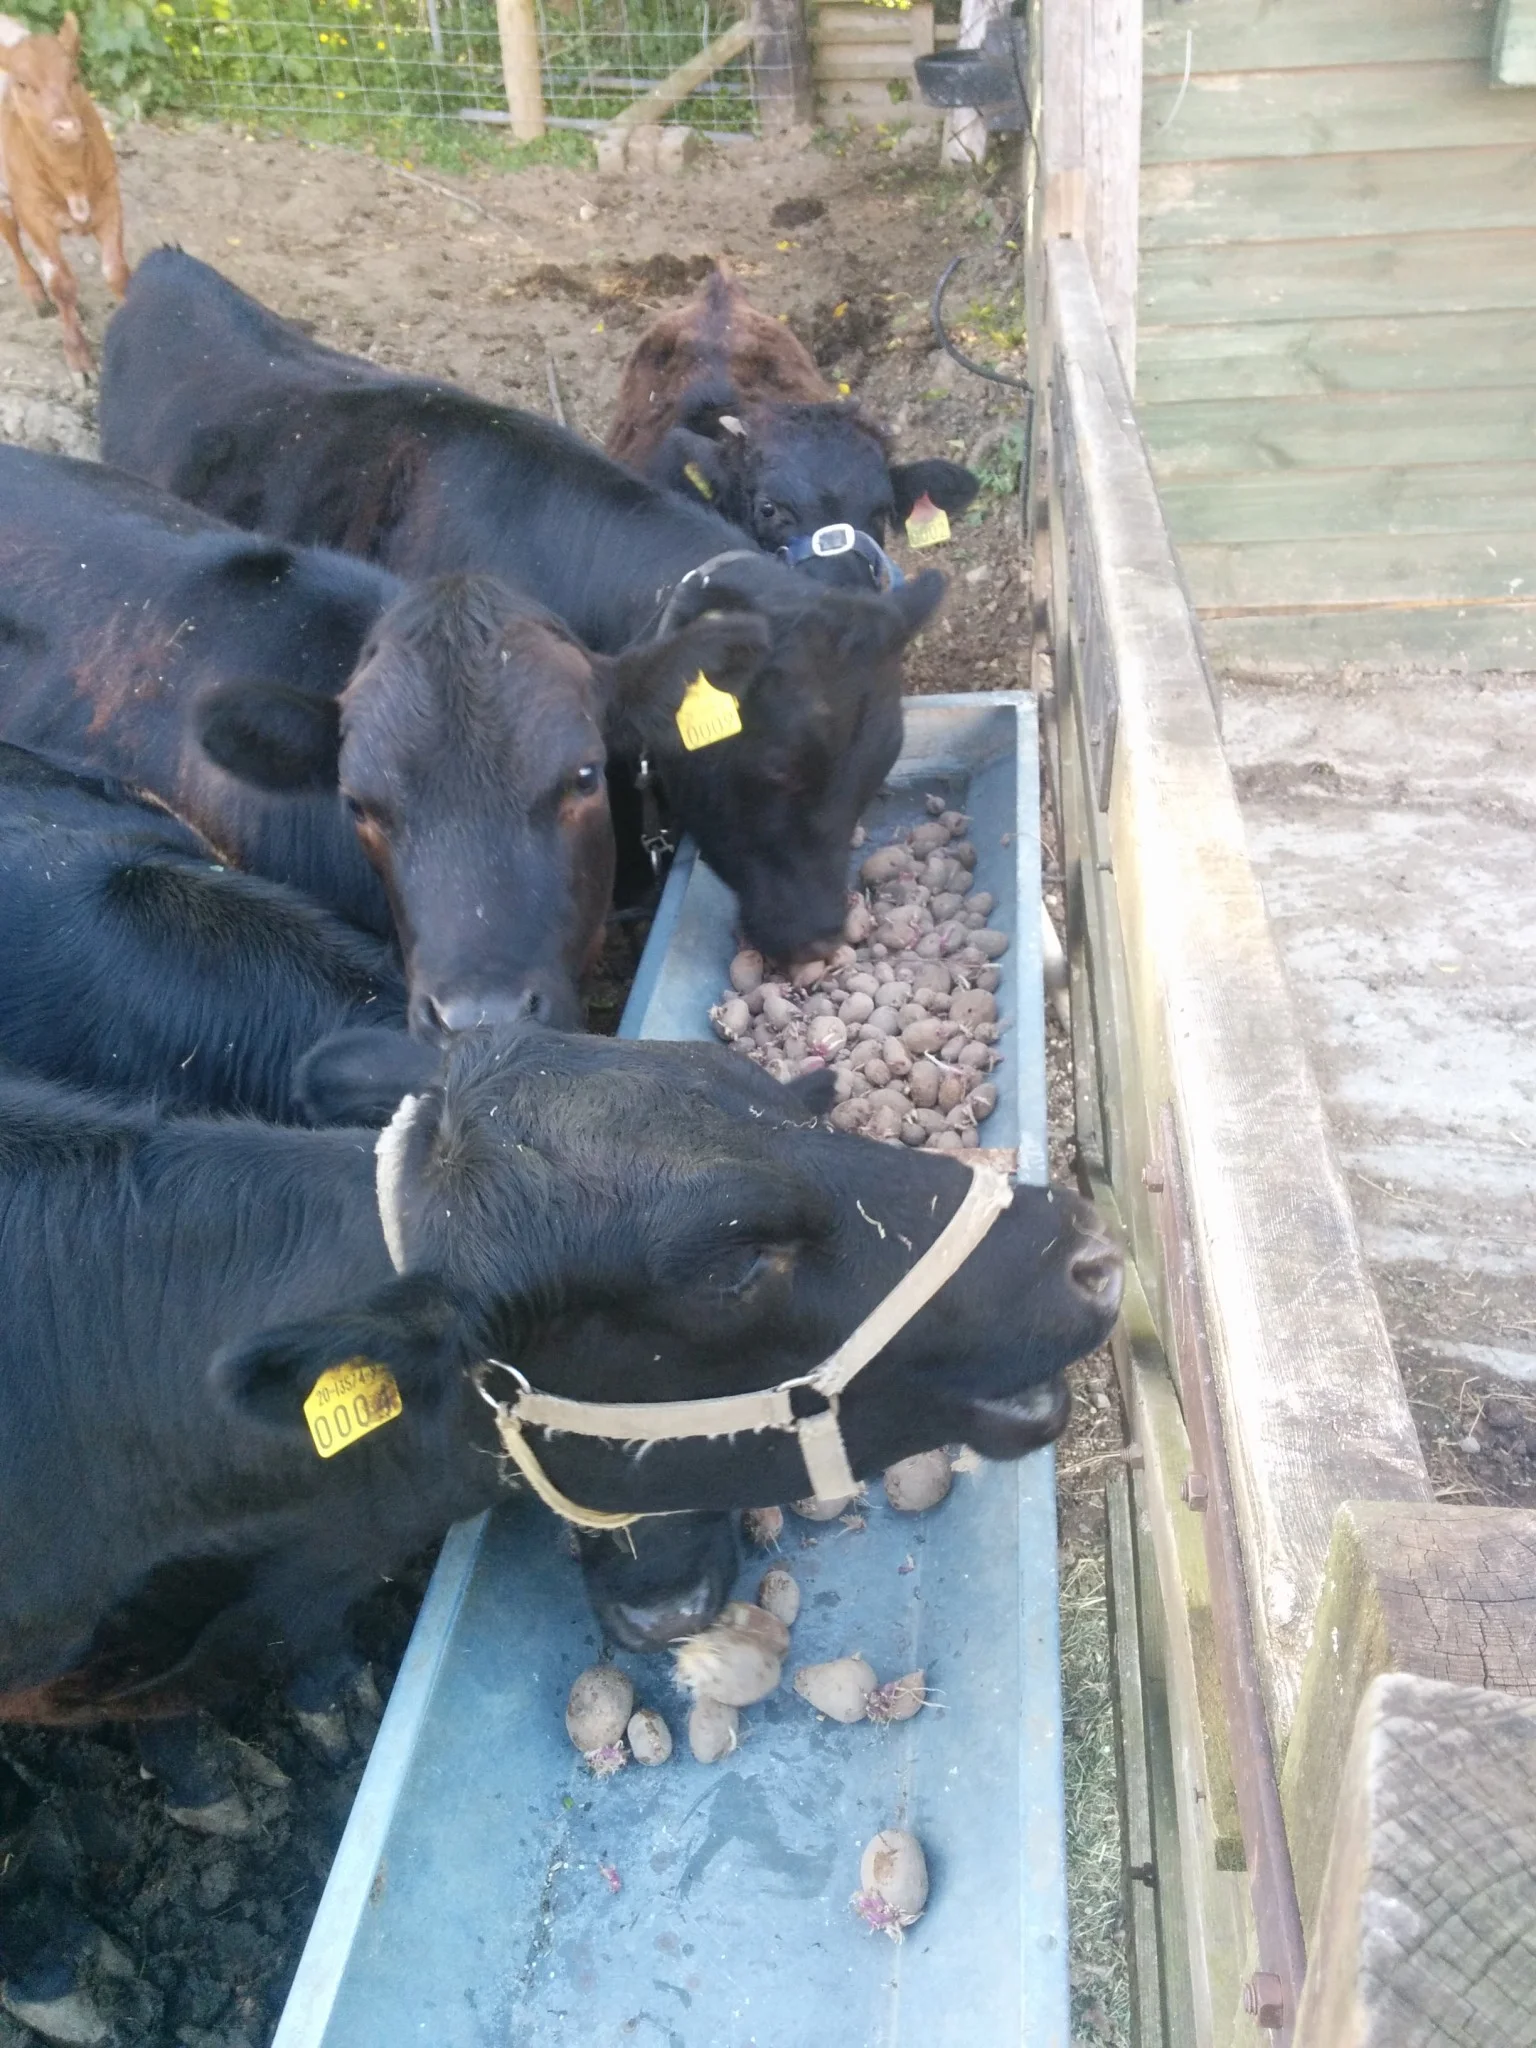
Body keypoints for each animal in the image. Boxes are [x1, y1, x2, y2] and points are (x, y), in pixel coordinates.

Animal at [0, 11, 128, 378]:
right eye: (23, 84)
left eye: (73, 76)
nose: (67, 126)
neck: (72, 179)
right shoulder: (35, 214)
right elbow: (62, 284)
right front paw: (78, 355)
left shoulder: (110, 199)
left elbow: (116, 272)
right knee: (10, 232)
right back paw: (36, 292)